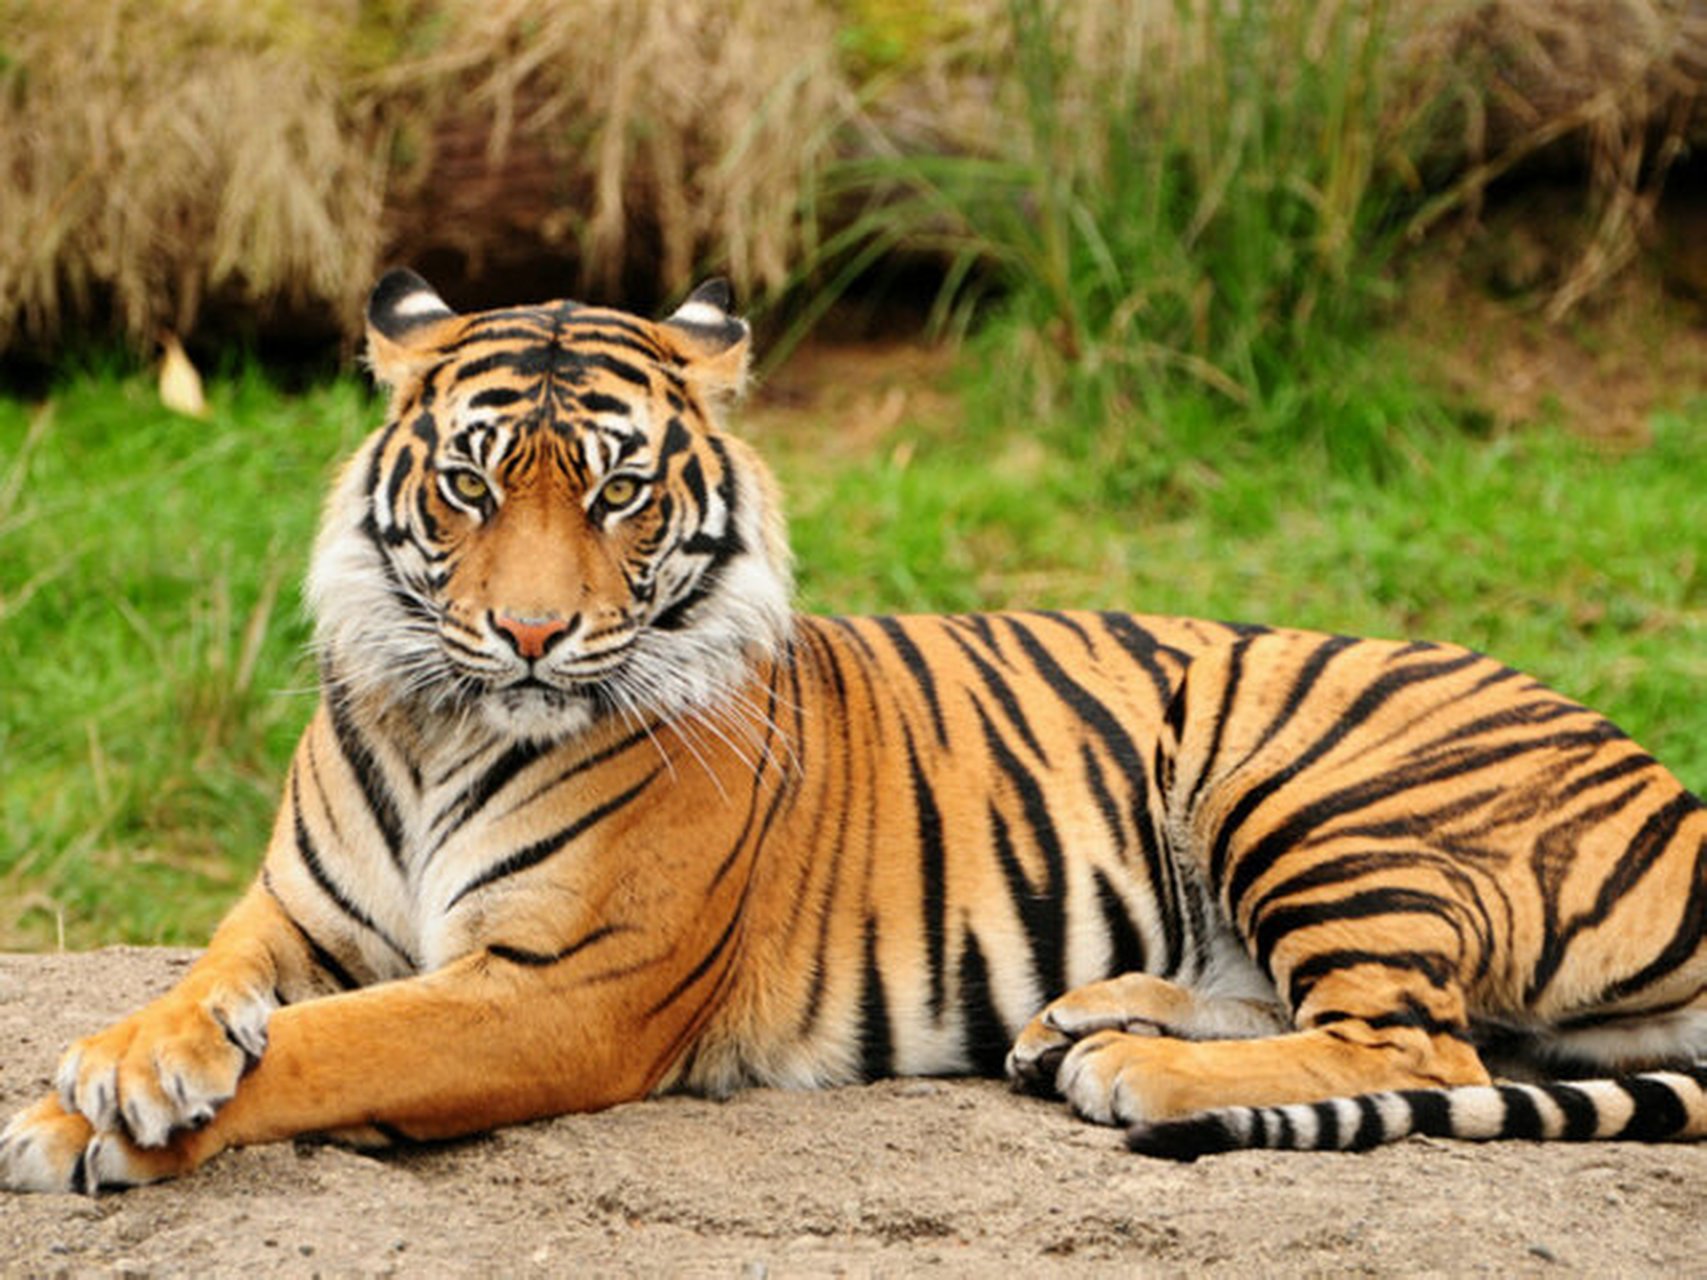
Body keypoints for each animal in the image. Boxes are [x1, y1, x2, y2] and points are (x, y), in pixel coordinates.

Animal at [3, 271, 1704, 1192]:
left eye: (619, 493)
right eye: (473, 485)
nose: (532, 635)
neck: (440, 724)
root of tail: (1671, 788)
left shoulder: (555, 991)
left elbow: (330, 1046)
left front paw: (88, 1126)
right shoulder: (293, 912)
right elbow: (211, 986)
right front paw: (122, 1064)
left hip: (1302, 779)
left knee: (1406, 1033)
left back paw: (1131, 1073)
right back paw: (1087, 1018)